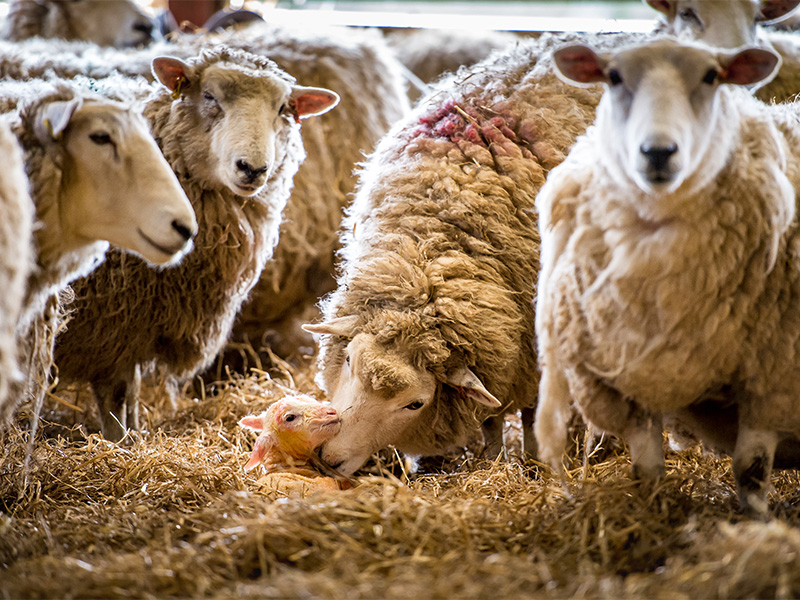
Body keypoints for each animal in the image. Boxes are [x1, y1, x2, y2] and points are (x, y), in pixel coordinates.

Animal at [50, 47, 338, 440]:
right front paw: (121, 442)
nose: (252, 169)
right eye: (210, 97)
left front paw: (134, 437)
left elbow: (129, 394)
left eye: (283, 108)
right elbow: (118, 395)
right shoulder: (113, 326)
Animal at [536, 36, 800, 516]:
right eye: (613, 77)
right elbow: (646, 470)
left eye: (712, 76)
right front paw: (651, 513)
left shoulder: (773, 380)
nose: (658, 152)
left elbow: (750, 471)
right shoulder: (628, 381)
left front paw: (755, 523)